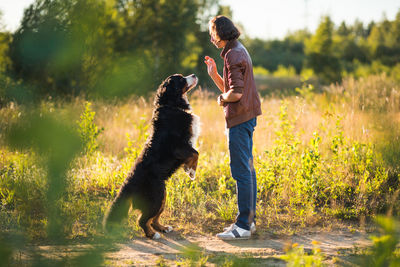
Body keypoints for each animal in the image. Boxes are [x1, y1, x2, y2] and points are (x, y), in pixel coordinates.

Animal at [103, 74, 200, 241]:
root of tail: (128, 185)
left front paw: (189, 169)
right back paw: (152, 234)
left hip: (162, 196)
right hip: (157, 196)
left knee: (153, 219)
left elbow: (195, 153)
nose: (193, 75)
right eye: (181, 79)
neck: (171, 105)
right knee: (142, 220)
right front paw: (191, 171)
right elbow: (195, 153)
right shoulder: (178, 146)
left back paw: (163, 228)